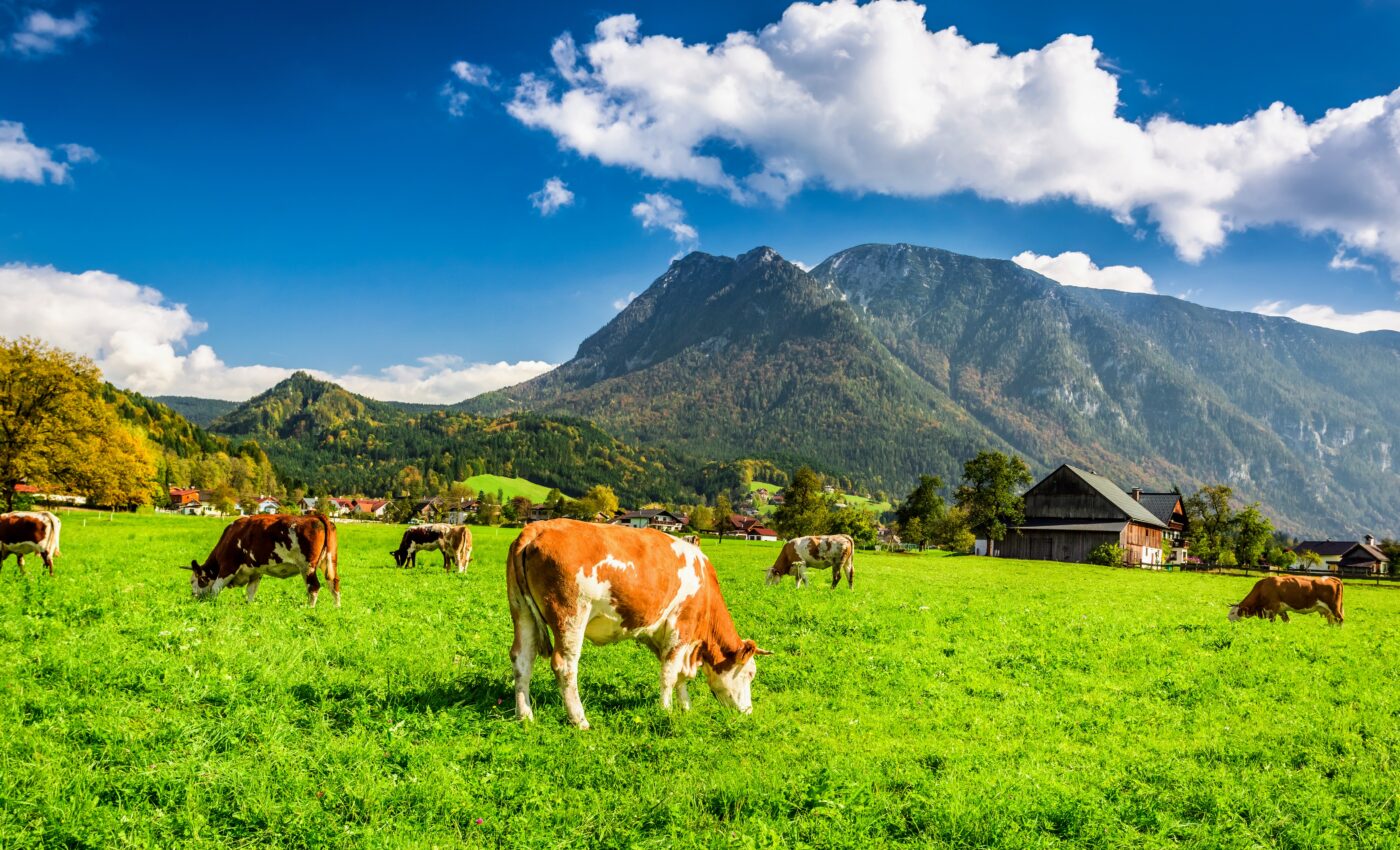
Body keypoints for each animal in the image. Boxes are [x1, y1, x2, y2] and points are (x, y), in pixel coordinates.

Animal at [183, 514, 340, 607]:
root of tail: (315, 516)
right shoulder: (255, 572)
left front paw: (212, 604)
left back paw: (309, 608)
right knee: (334, 582)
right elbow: (251, 591)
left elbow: (215, 588)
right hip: (329, 561)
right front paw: (249, 606)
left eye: (193, 581)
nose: (193, 596)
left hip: (307, 566)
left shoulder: (228, 567)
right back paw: (336, 608)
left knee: (313, 586)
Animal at [506, 518, 771, 729]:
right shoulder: (680, 627)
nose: (748, 712)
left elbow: (681, 676)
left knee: (522, 660)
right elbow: (670, 674)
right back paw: (579, 720)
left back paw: (525, 716)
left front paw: (686, 707)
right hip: (571, 615)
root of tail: (538, 527)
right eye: (750, 673)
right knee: (565, 665)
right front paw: (667, 711)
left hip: (522, 612)